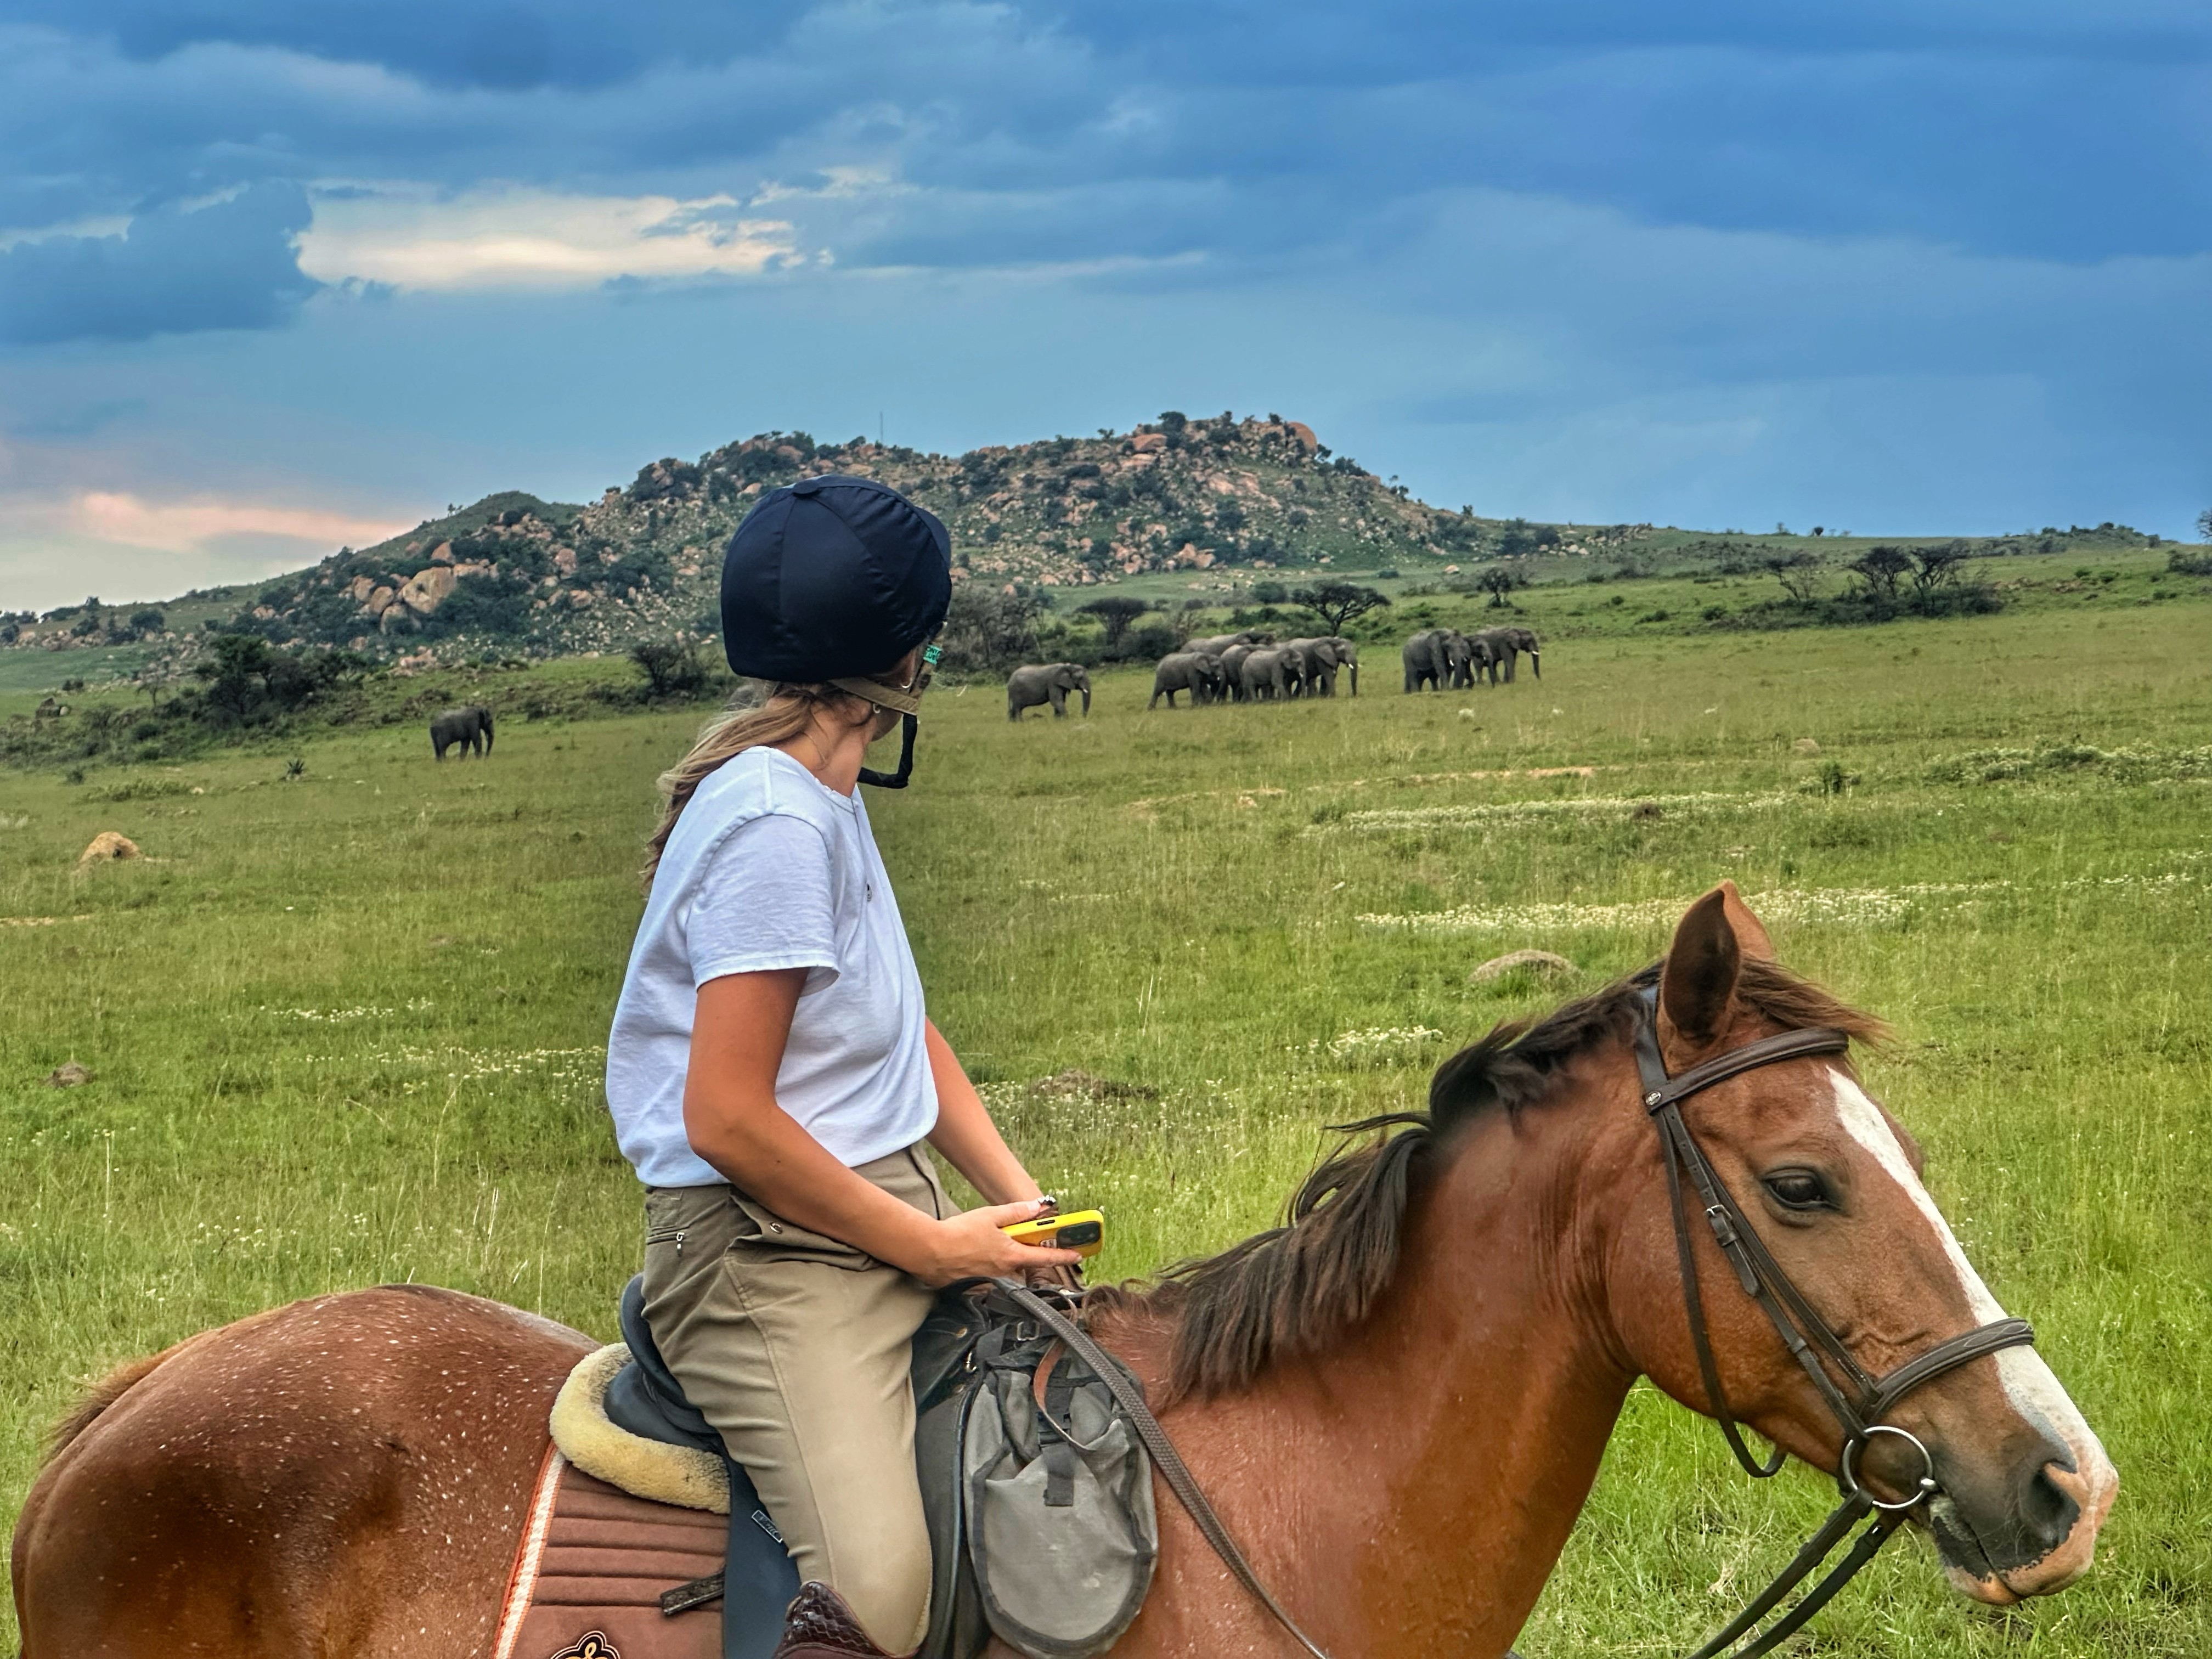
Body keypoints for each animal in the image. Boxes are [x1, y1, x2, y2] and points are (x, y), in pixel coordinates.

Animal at [1007, 662, 1092, 720]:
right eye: (1080, 677)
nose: (1082, 718)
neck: (1067, 666)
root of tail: (1009, 680)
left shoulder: (1060, 685)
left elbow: (1061, 700)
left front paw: (1058, 721)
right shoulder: (1053, 683)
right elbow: (1056, 701)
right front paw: (1067, 720)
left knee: (1016, 708)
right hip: (1016, 692)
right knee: (1018, 708)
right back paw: (1020, 723)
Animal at [1150, 651, 1227, 709]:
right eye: (1217, 666)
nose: (1217, 703)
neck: (1206, 655)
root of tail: (1159, 663)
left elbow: (1202, 686)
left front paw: (1206, 705)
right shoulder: (1192, 671)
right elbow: (1196, 686)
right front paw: (1195, 707)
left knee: (1170, 692)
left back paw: (1173, 708)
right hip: (1161, 677)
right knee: (1158, 691)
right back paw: (1151, 709)